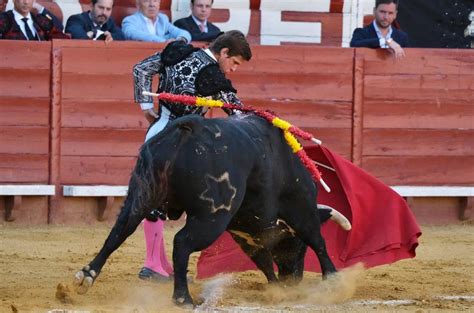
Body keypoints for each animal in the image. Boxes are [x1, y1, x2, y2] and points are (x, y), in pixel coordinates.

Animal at [73, 112, 348, 304]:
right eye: (298, 247)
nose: (293, 280)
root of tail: (187, 129)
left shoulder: (244, 234)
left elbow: (262, 260)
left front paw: (277, 287)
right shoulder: (301, 209)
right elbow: (317, 240)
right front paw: (333, 280)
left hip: (140, 195)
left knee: (119, 232)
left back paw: (87, 275)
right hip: (212, 217)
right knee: (182, 242)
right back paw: (183, 298)